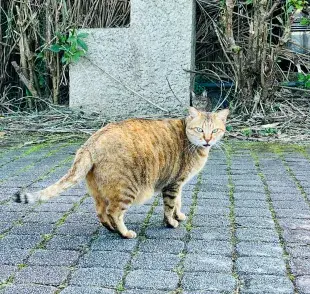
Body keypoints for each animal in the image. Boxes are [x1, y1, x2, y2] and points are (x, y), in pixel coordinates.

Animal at [13, 108, 228, 239]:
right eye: (199, 129)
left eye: (215, 130)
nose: (207, 140)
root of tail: (91, 142)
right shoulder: (173, 184)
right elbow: (169, 207)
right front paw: (171, 222)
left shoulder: (177, 184)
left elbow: (178, 203)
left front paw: (180, 215)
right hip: (127, 189)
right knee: (114, 212)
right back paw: (124, 233)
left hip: (100, 192)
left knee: (101, 212)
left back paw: (111, 228)